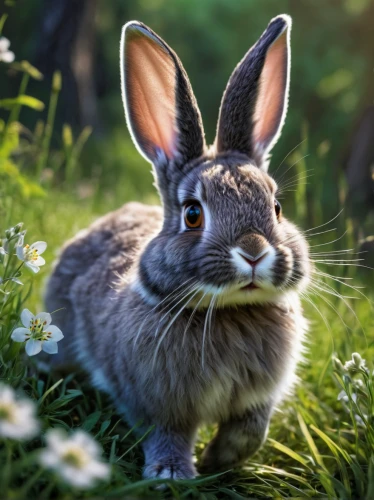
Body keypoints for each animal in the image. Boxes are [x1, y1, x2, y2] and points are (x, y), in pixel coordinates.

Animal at [46, 13, 310, 478]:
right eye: (192, 214)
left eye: (276, 207)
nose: (254, 252)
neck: (227, 311)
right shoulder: (158, 404)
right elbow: (167, 432)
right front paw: (172, 474)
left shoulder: (258, 400)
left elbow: (252, 431)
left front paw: (218, 459)